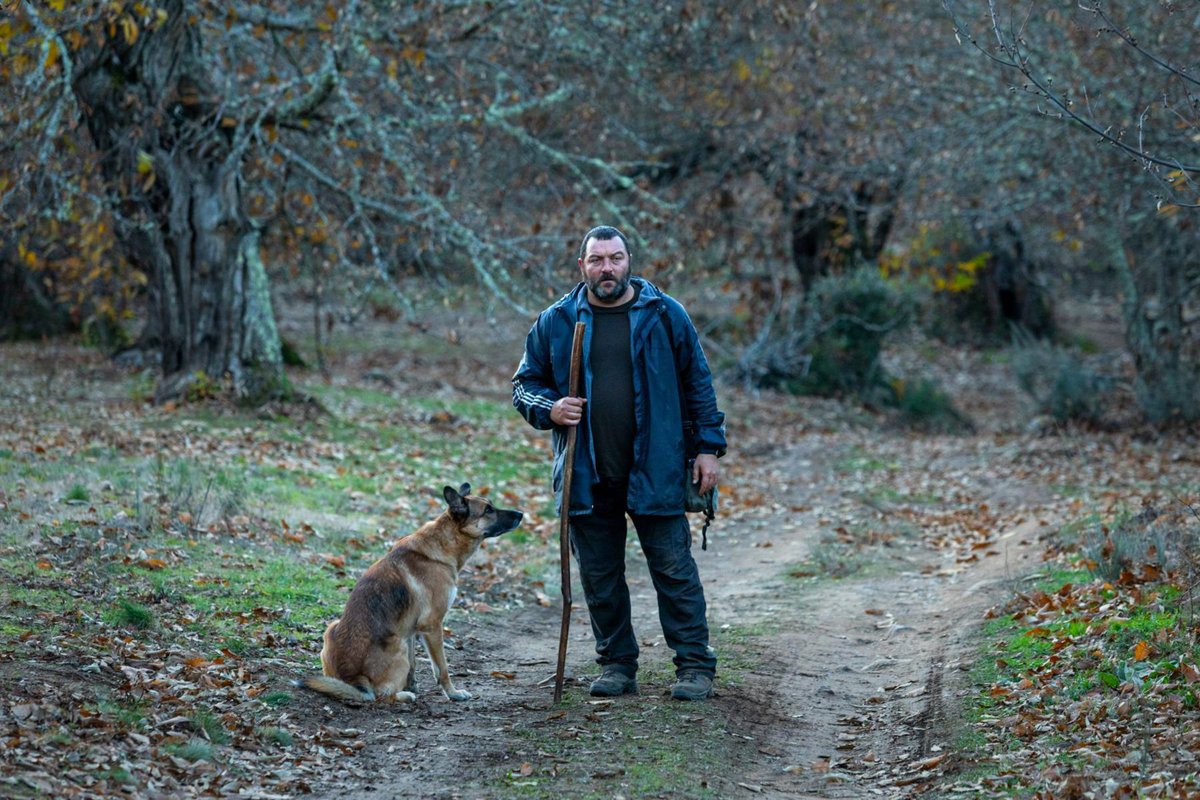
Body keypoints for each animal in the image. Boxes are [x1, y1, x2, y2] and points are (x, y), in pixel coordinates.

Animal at [294, 484, 520, 705]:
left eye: (491, 505)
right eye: (488, 510)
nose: (521, 514)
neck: (444, 543)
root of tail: (353, 679)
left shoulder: (411, 629)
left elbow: (413, 666)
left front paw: (412, 686)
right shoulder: (432, 625)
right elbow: (442, 668)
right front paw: (453, 694)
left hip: (339, 628)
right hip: (398, 643)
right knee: (380, 695)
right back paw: (404, 697)